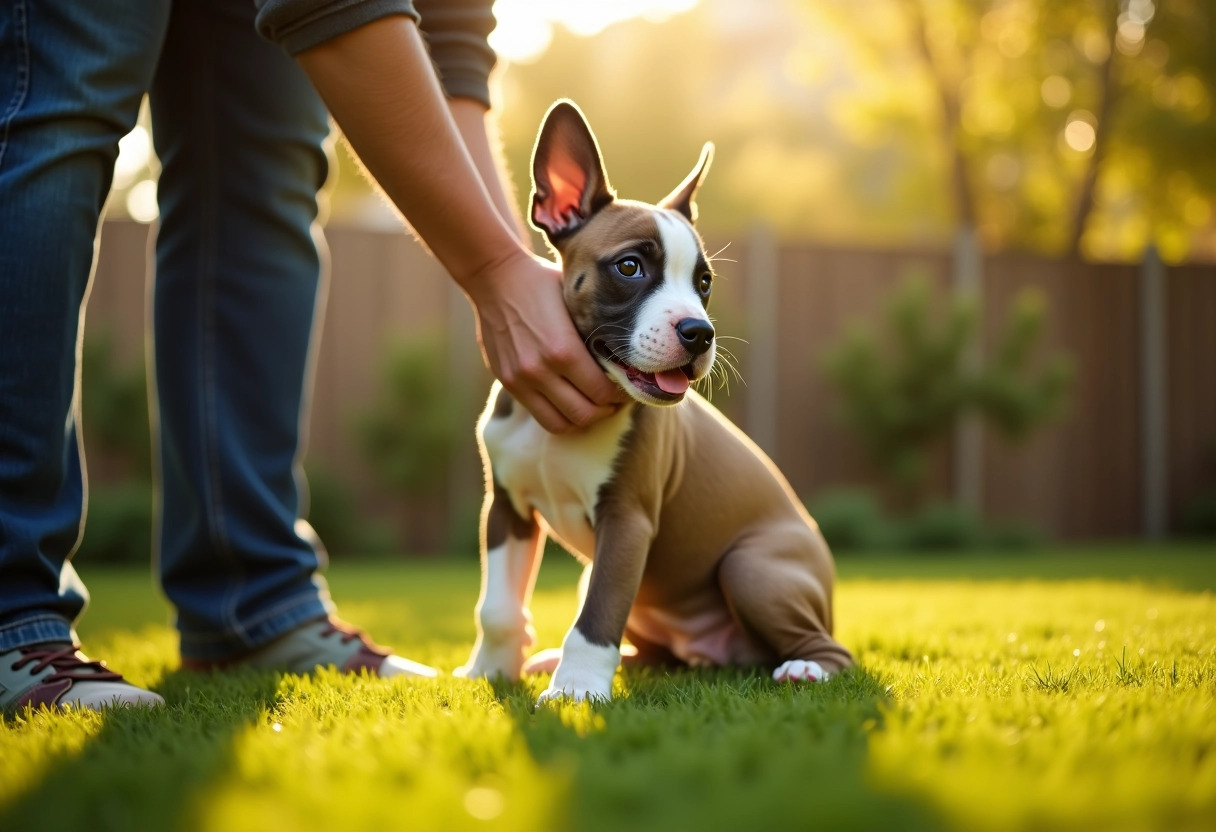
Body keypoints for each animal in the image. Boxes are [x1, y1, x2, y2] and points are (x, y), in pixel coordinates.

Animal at [457, 100, 856, 705]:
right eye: (629, 267)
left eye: (704, 282)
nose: (699, 332)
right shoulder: (507, 508)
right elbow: (498, 607)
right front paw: (491, 671)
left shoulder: (627, 522)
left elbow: (597, 614)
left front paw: (576, 689)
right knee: (651, 651)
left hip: (752, 566)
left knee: (833, 650)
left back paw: (806, 668)